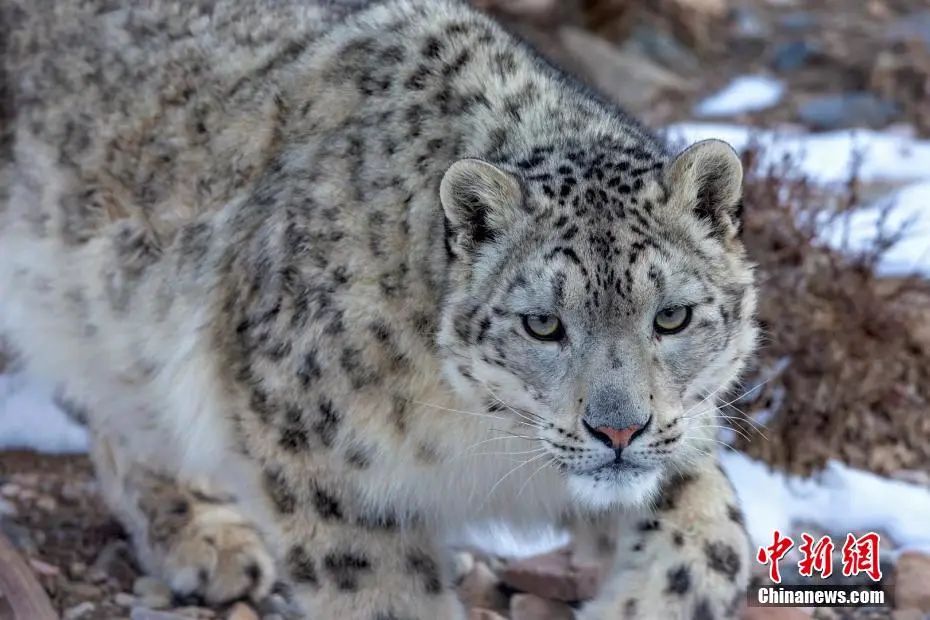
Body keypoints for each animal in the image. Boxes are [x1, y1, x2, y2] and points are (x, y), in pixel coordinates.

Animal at [1, 0, 752, 616]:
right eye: (542, 323)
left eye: (672, 317)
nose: (618, 431)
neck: (475, 439)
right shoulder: (319, 463)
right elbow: (381, 592)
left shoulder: (678, 443)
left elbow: (718, 538)